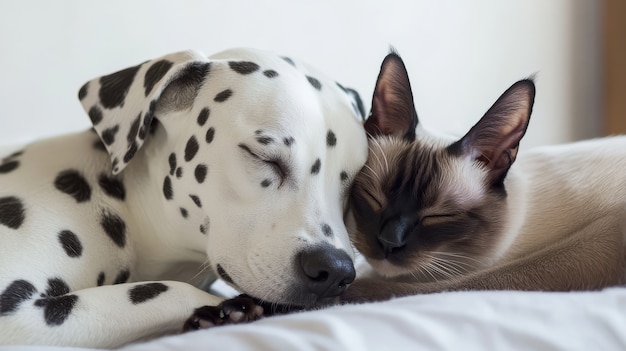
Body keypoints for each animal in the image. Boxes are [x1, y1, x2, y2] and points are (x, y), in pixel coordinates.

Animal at [0, 48, 368, 350]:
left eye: (356, 182)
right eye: (265, 157)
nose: (334, 270)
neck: (127, 211)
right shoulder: (17, 315)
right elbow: (171, 291)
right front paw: (228, 310)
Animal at [342, 53, 624, 304]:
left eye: (439, 215)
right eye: (373, 197)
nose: (389, 243)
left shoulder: (600, 239)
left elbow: (456, 285)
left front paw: (345, 291)